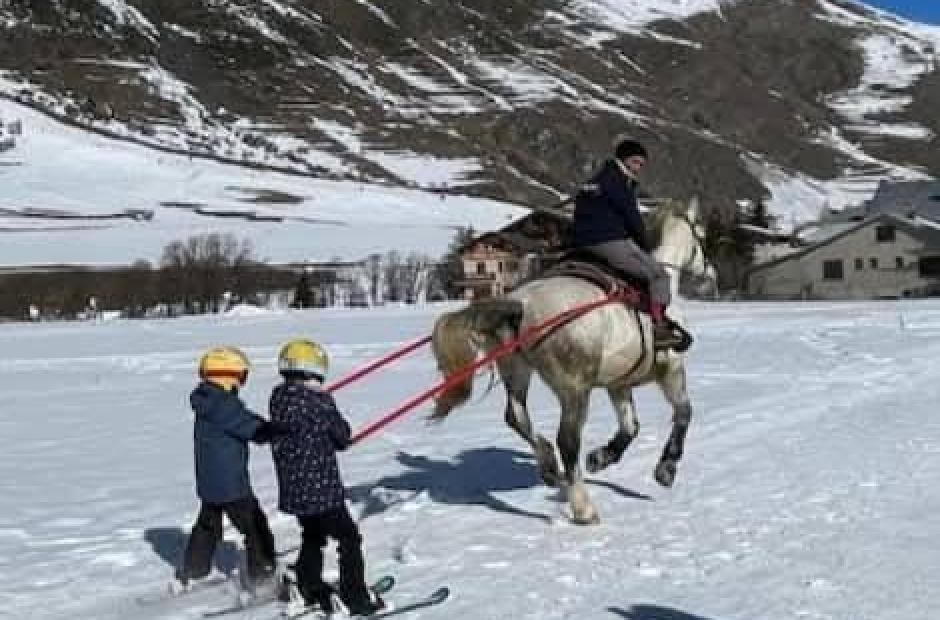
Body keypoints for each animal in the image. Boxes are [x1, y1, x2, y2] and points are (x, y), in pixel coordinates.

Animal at [429, 197, 715, 524]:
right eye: (702, 237)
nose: (711, 277)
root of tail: (521, 303)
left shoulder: (618, 383)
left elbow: (630, 427)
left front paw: (600, 458)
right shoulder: (671, 371)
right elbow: (684, 413)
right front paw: (666, 468)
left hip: (517, 371)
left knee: (517, 417)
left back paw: (549, 467)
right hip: (574, 388)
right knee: (566, 440)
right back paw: (582, 506)